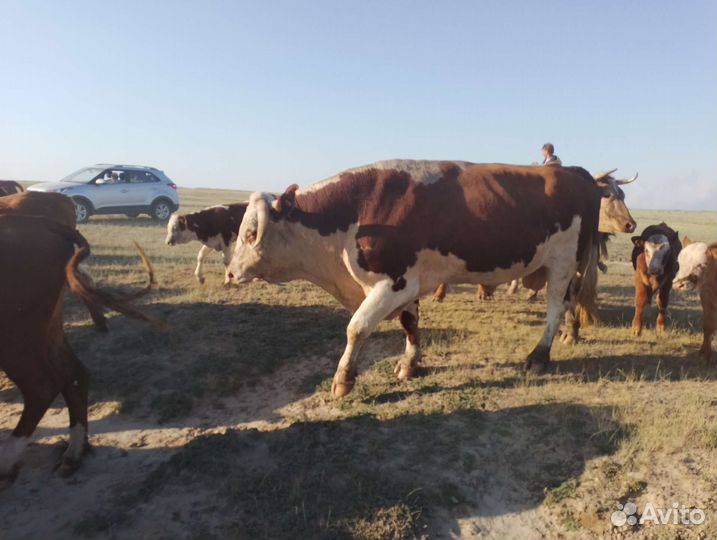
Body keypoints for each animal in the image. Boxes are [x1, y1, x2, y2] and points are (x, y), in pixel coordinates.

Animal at [0, 214, 160, 484]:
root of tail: (41, 223)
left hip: (16, 339)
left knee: (42, 388)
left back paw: (8, 461)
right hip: (46, 331)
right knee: (74, 374)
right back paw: (74, 452)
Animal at [227, 160, 620, 398]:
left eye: (250, 233)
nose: (231, 272)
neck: (355, 212)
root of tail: (577, 173)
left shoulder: (392, 283)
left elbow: (357, 328)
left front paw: (343, 379)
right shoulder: (406, 282)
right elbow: (410, 323)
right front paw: (409, 364)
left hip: (564, 260)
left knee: (555, 306)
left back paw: (539, 354)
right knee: (569, 301)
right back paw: (571, 334)